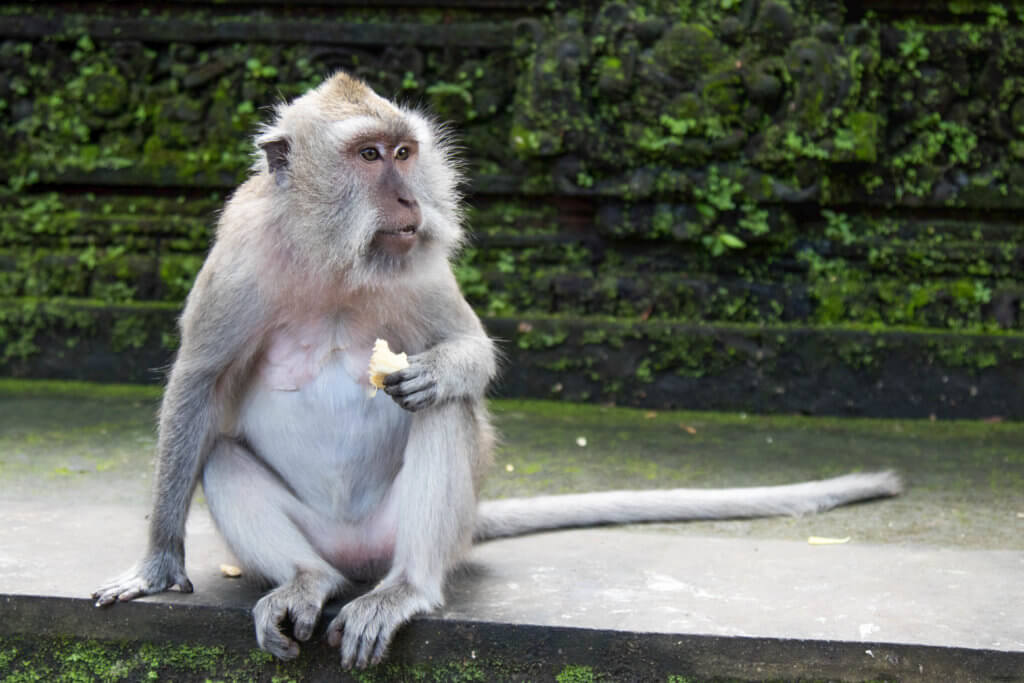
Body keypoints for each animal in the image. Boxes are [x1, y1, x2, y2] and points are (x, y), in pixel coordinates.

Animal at [92, 71, 902, 670]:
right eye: (368, 157)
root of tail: (360, 557)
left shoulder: (417, 259)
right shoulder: (239, 255)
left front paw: (442, 370)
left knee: (442, 421)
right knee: (223, 457)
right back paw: (306, 580)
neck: (336, 260)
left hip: (419, 535)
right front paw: (157, 566)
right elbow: (198, 383)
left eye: (405, 153)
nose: (407, 196)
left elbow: (470, 351)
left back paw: (405, 590)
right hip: (322, 536)